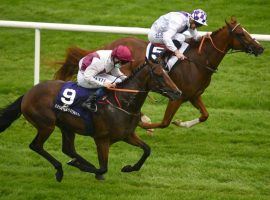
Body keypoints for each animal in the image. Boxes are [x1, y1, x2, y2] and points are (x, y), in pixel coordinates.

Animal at [0, 60, 181, 181]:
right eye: (159, 74)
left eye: (168, 73)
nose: (178, 92)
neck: (122, 103)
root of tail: (28, 93)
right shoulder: (102, 138)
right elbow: (104, 168)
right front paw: (85, 168)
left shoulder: (127, 135)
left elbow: (147, 150)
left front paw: (129, 168)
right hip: (46, 125)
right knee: (36, 146)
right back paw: (60, 169)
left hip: (66, 126)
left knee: (68, 149)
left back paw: (76, 163)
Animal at [54, 16, 264, 130]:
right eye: (241, 34)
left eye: (246, 31)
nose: (260, 48)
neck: (199, 61)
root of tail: (110, 44)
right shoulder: (178, 97)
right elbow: (164, 122)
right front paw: (144, 124)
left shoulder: (193, 95)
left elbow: (205, 115)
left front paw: (181, 123)